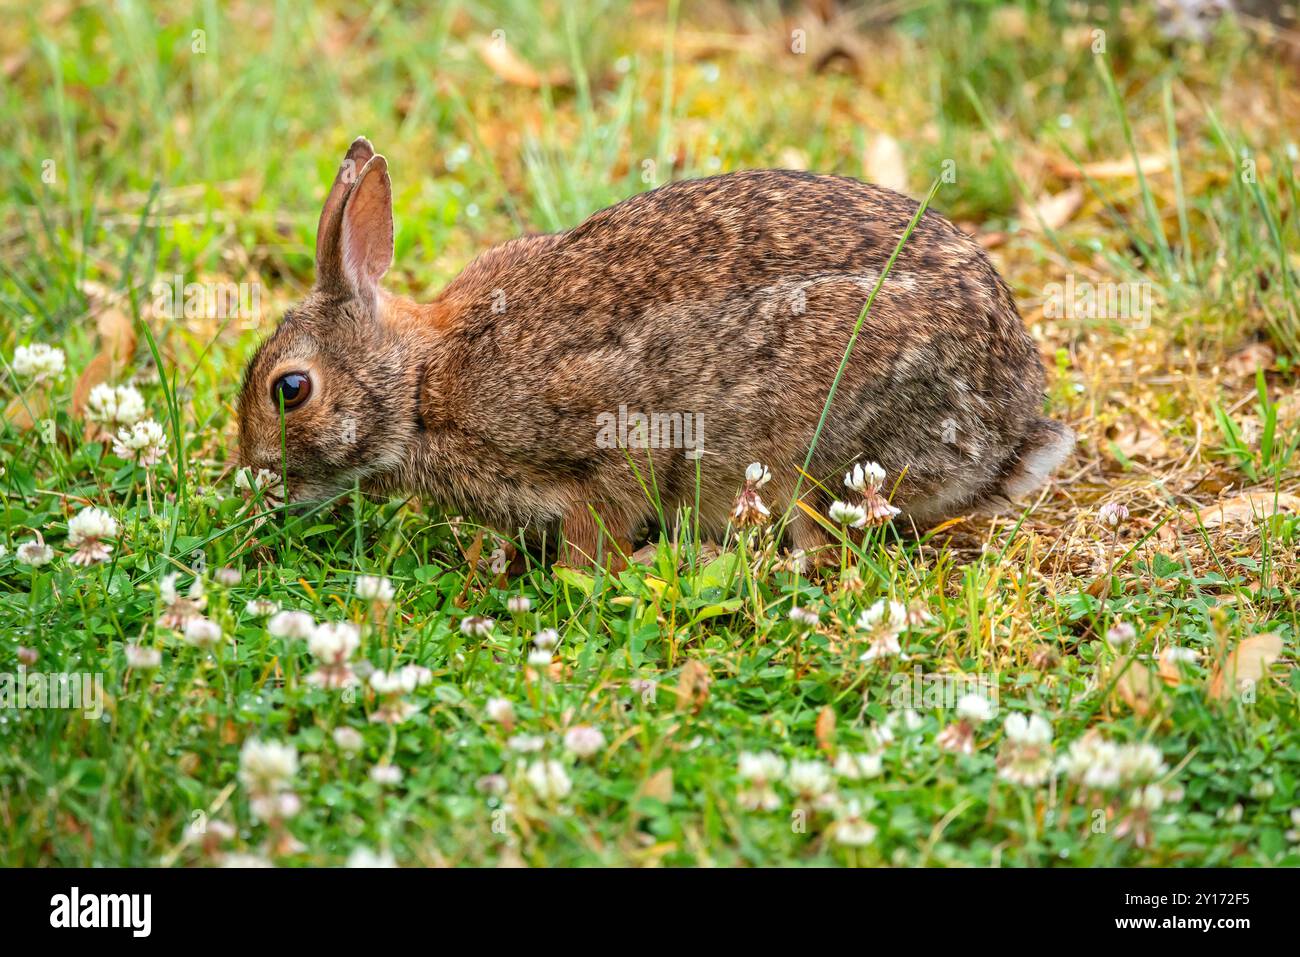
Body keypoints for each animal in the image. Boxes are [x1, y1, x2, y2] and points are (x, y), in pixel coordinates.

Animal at [238, 136, 1073, 569]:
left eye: (290, 389)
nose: (252, 478)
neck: (420, 383)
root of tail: (1006, 430)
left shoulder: (603, 441)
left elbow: (597, 531)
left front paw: (583, 576)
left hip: (818, 442)